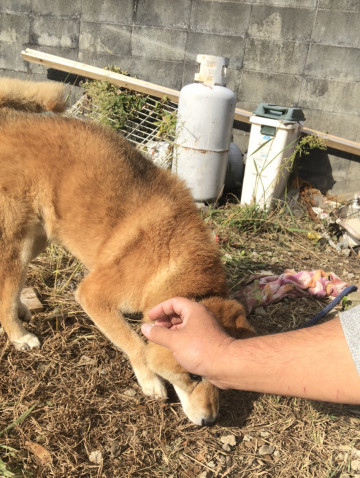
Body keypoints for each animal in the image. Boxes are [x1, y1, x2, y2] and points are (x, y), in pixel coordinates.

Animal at [0, 79, 253, 426]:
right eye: (192, 376)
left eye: (218, 380)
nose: (211, 421)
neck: (169, 263)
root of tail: (7, 119)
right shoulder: (93, 294)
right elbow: (138, 344)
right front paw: (150, 380)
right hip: (19, 241)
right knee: (6, 290)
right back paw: (18, 335)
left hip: (40, 237)